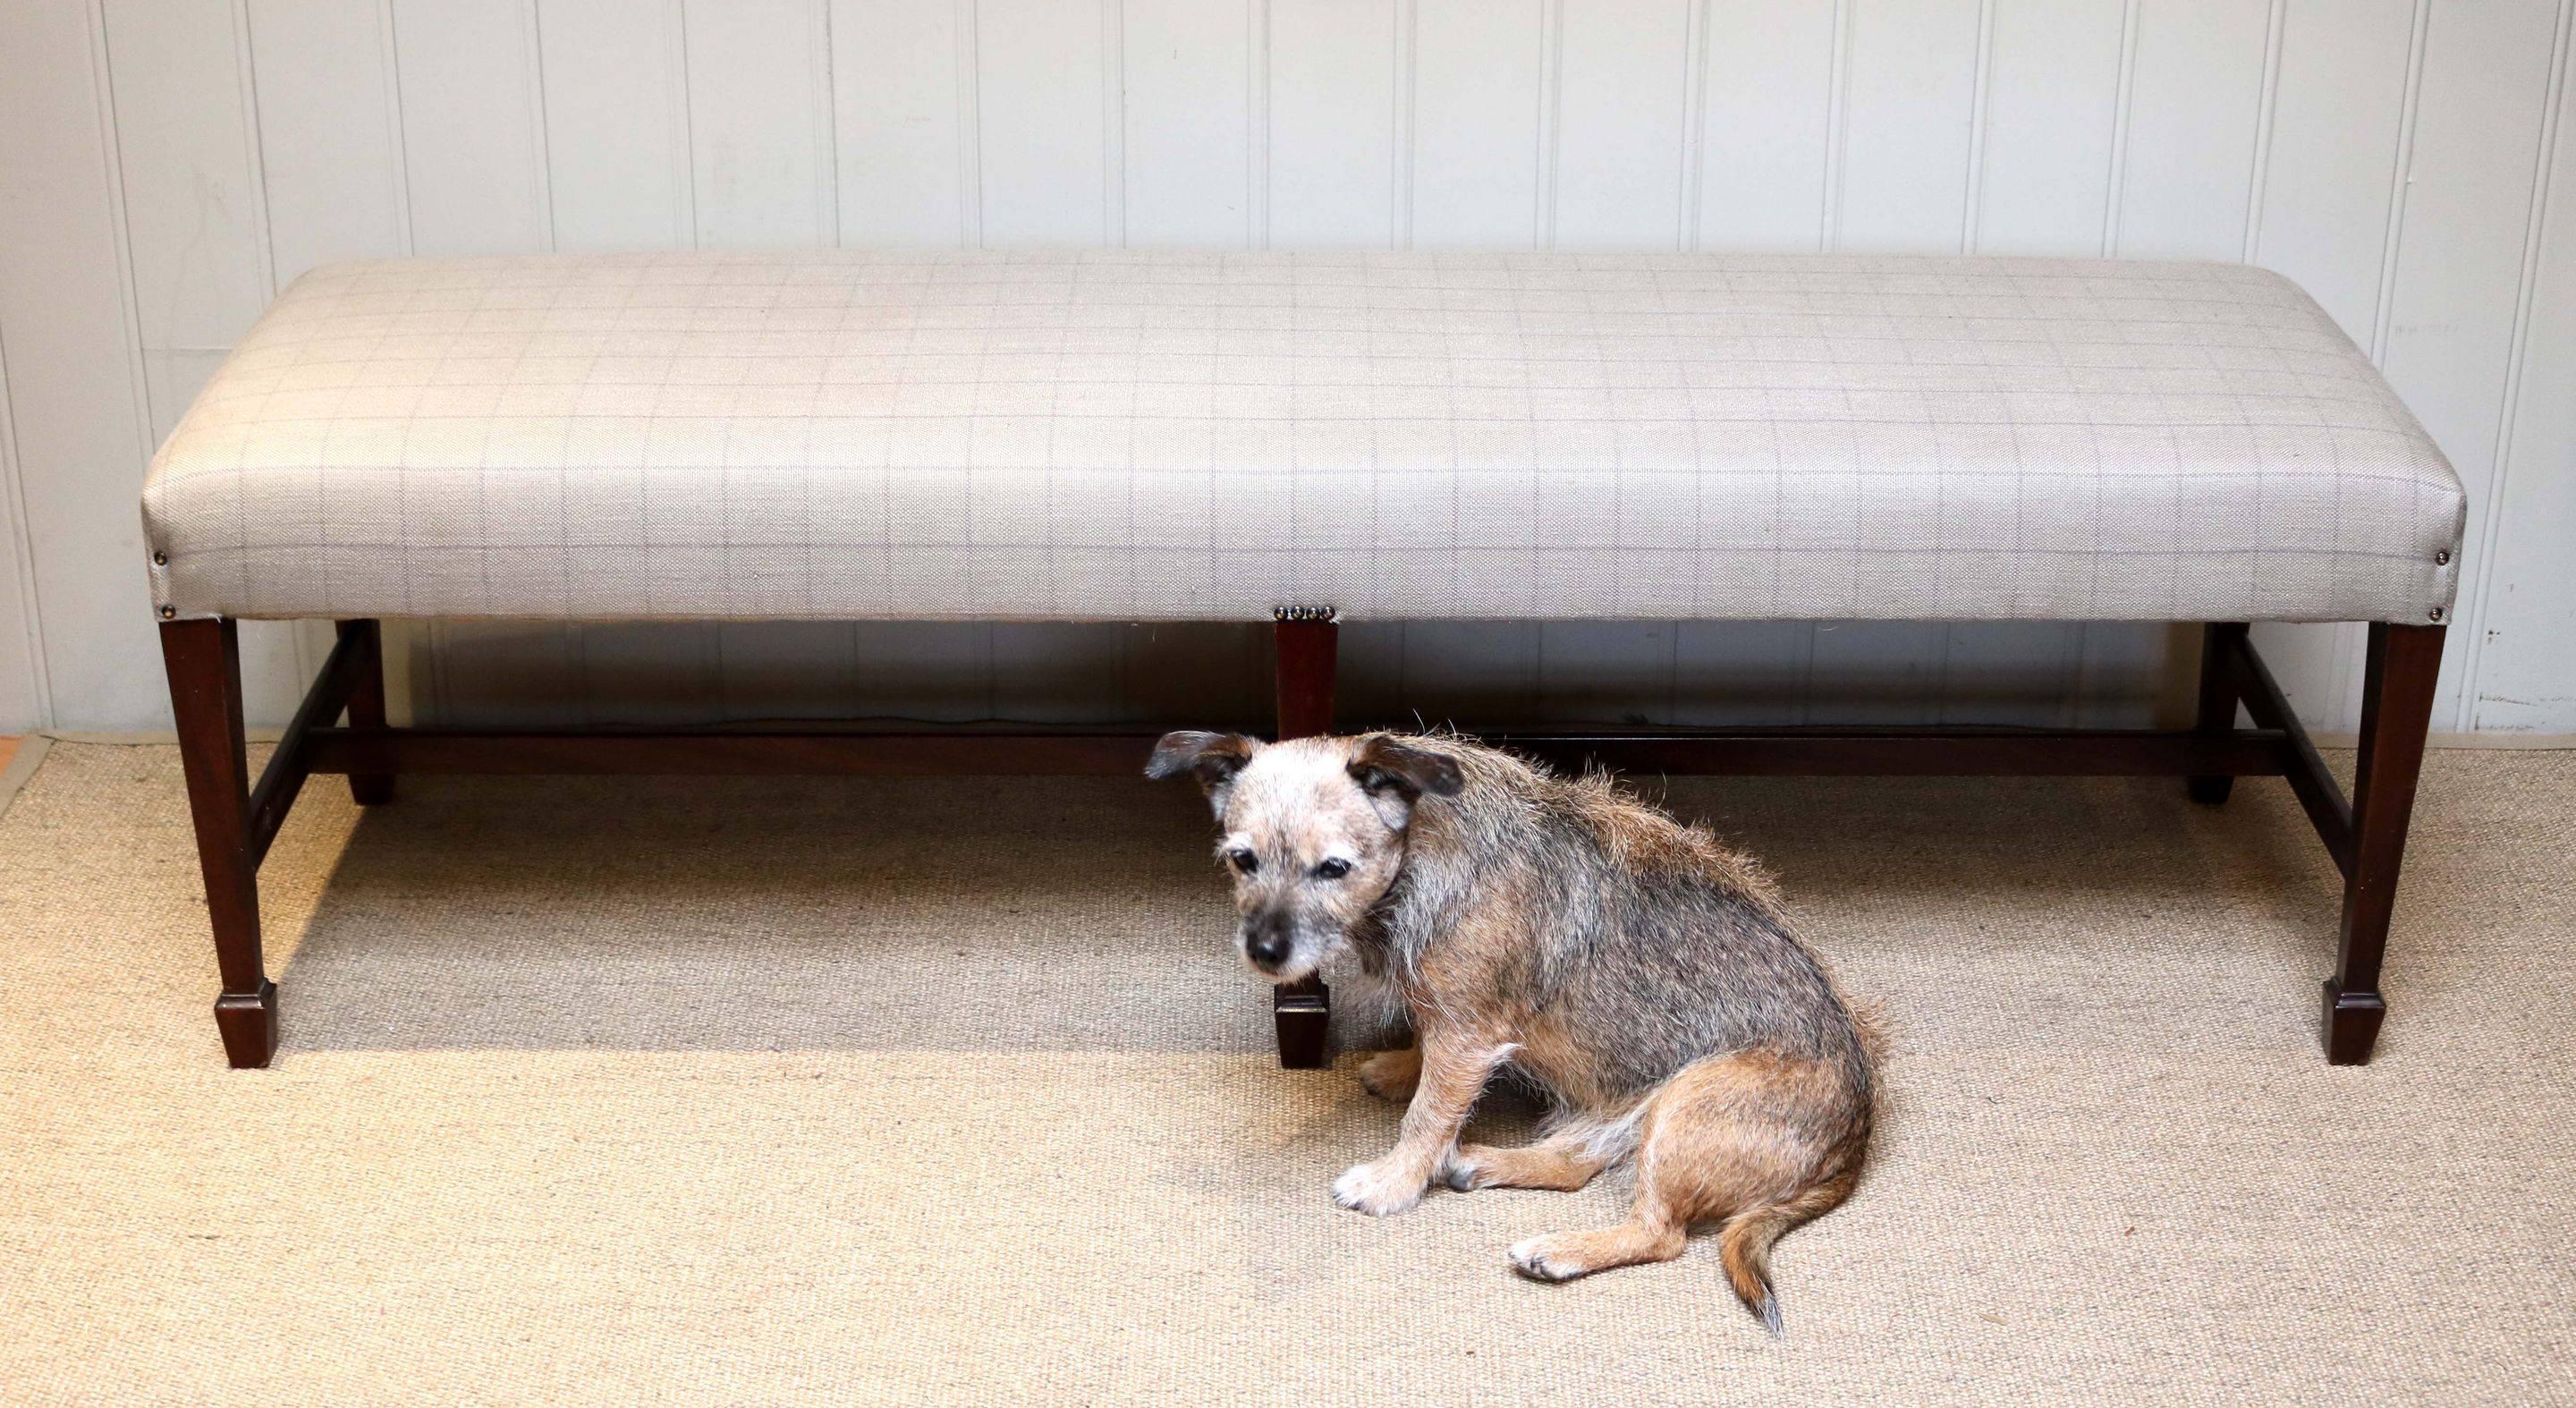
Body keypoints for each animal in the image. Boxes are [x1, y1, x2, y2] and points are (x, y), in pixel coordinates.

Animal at [1148, 725, 1875, 1338]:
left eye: (1334, 868)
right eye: (1242, 859)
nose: (1265, 951)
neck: (1420, 851)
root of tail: (1857, 1136)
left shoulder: (1468, 1036)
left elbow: (1428, 1115)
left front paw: (1392, 1183)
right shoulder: (1451, 1021)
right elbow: (1426, 1051)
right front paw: (1400, 1069)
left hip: (1686, 1103)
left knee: (1660, 1233)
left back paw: (1559, 1248)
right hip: (1636, 1113)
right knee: (1576, 1165)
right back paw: (1484, 1162)